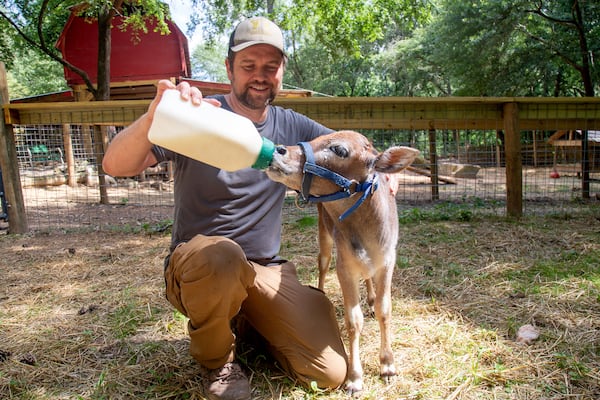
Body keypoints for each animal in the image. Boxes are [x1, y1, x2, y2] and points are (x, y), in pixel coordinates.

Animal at [264, 130, 420, 392]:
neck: (366, 236)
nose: (279, 149)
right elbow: (353, 321)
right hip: (324, 235)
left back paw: (370, 299)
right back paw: (321, 292)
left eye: (339, 150)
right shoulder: (345, 267)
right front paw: (355, 378)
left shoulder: (388, 261)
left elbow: (385, 310)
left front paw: (388, 366)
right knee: (323, 263)